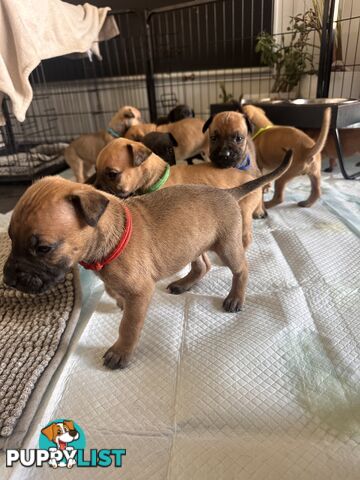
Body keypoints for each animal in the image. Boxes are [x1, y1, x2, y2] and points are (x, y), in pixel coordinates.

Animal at [3, 152, 292, 370]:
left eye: (43, 248)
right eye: (11, 237)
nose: (8, 280)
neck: (109, 236)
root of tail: (230, 193)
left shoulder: (140, 292)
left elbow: (129, 326)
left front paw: (121, 351)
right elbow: (112, 291)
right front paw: (119, 301)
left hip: (227, 246)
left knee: (241, 269)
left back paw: (235, 297)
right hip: (194, 242)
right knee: (203, 265)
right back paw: (184, 283)